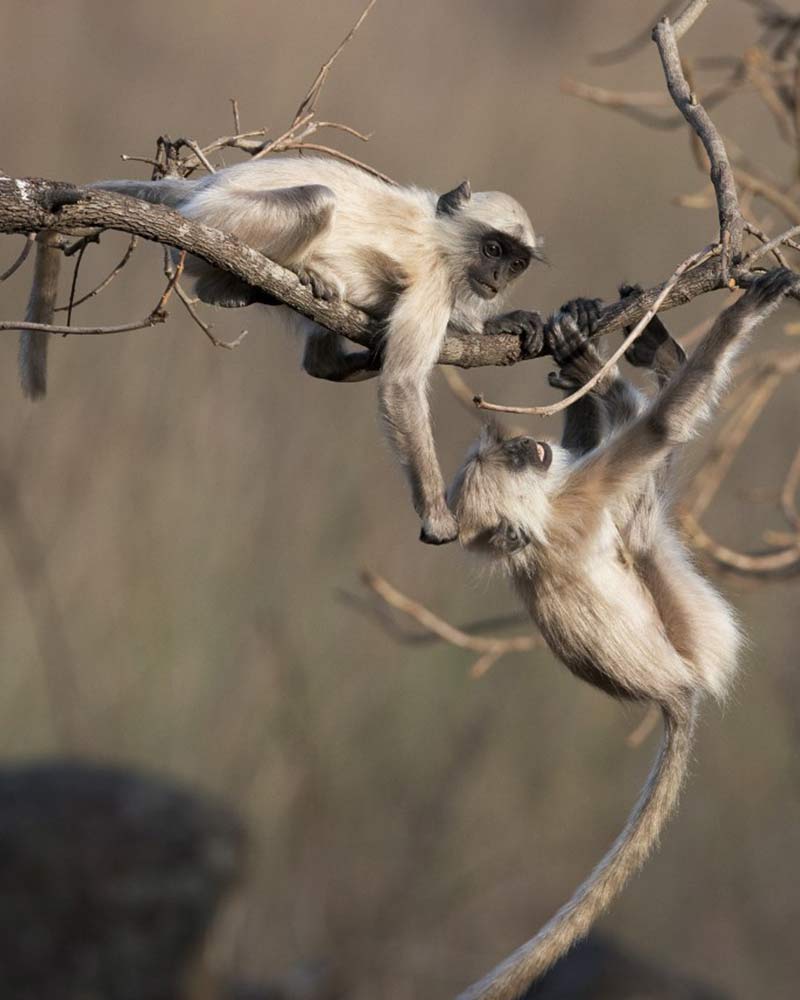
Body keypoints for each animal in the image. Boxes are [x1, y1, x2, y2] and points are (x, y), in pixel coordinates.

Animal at [18, 158, 548, 548]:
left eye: (516, 262)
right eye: (493, 249)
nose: (498, 278)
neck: (441, 237)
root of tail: (202, 186)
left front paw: (501, 321)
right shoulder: (435, 277)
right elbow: (401, 384)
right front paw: (437, 517)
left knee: (322, 355)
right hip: (217, 221)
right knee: (315, 202)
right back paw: (236, 286)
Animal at [444, 268, 800, 1000]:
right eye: (516, 462)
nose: (530, 445)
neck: (532, 537)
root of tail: (672, 695)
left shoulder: (566, 488)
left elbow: (613, 441)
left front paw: (582, 358)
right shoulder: (574, 499)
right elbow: (658, 429)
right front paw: (740, 314)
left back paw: (622, 361)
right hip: (701, 633)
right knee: (643, 518)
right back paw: (650, 363)